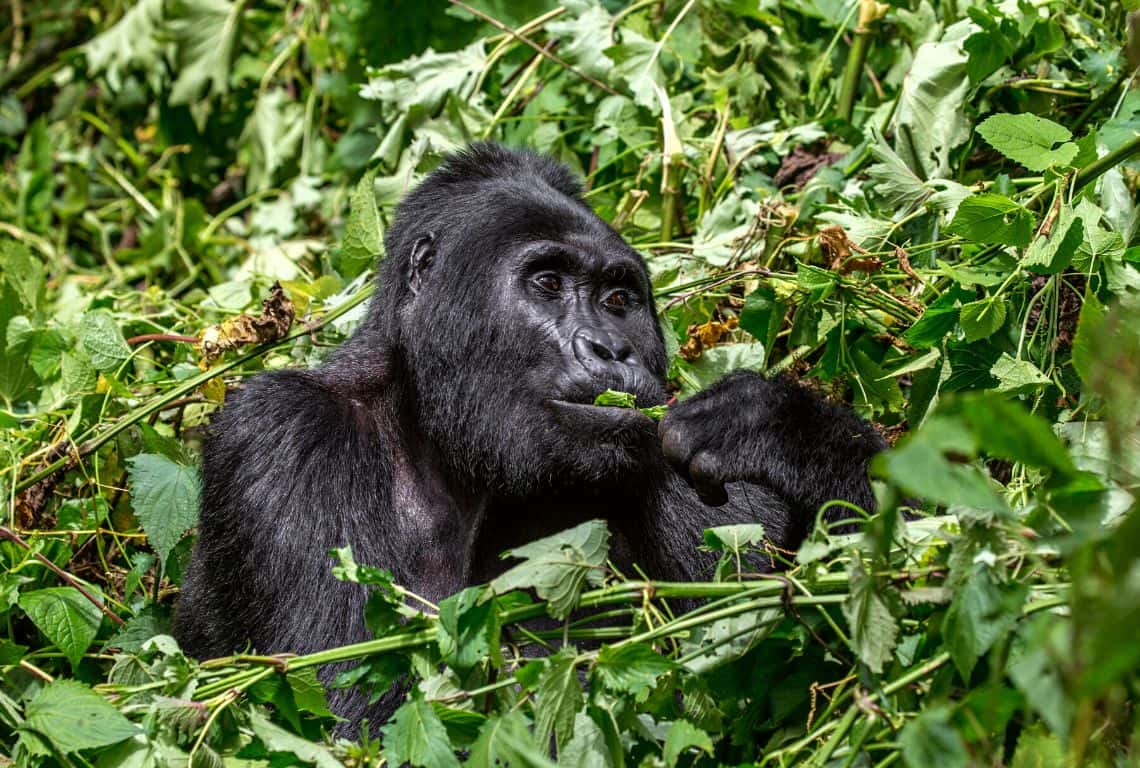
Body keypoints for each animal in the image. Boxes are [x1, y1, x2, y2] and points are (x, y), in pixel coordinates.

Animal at [173, 141, 884, 724]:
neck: (430, 431)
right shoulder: (283, 436)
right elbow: (351, 709)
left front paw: (782, 430)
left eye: (619, 300)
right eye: (547, 284)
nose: (610, 350)